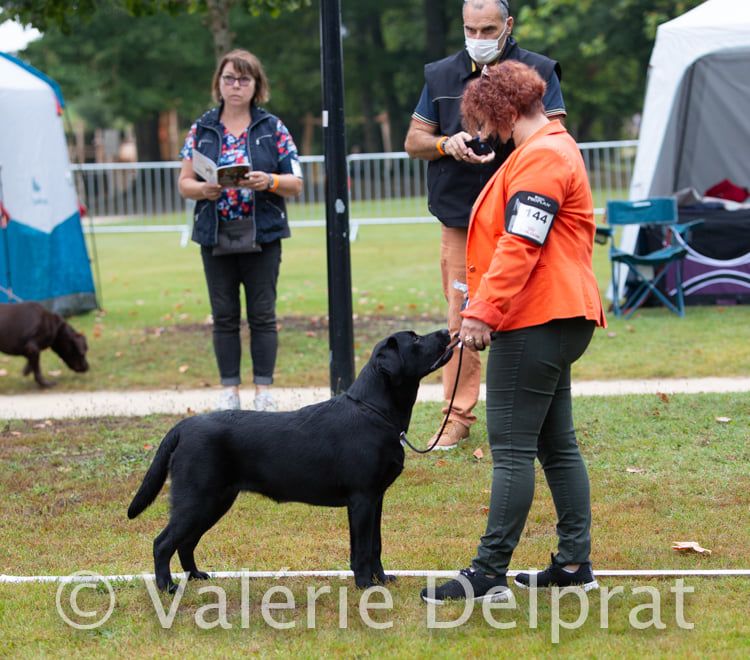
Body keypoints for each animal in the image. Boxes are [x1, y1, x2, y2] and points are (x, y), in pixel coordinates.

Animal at [129, 330, 452, 592]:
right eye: (416, 340)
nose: (447, 331)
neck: (374, 411)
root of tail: (183, 426)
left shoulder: (376, 498)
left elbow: (376, 545)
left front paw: (382, 579)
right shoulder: (361, 498)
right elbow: (361, 549)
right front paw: (365, 586)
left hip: (214, 501)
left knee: (186, 542)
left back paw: (196, 576)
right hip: (197, 499)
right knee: (163, 543)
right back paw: (167, 587)